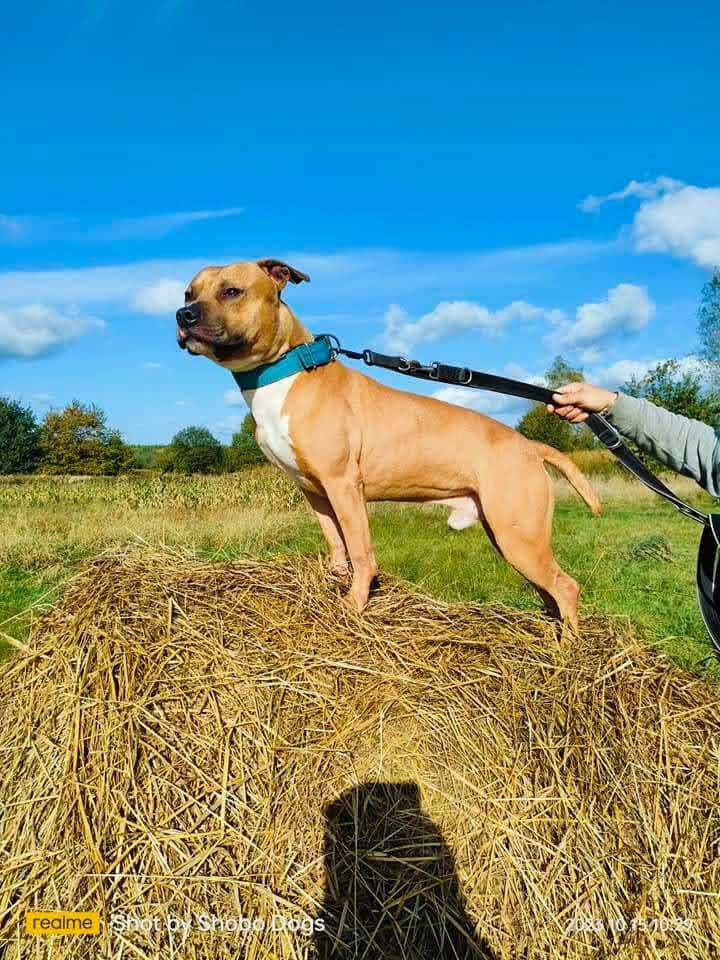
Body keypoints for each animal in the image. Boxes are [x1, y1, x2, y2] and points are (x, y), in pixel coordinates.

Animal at [177, 258, 600, 628]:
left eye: (232, 291)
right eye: (188, 293)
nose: (183, 316)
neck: (284, 372)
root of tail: (531, 446)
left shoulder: (343, 485)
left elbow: (360, 551)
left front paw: (354, 605)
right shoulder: (314, 492)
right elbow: (336, 544)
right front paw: (334, 581)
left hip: (519, 534)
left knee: (567, 587)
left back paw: (566, 651)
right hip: (510, 535)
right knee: (550, 591)